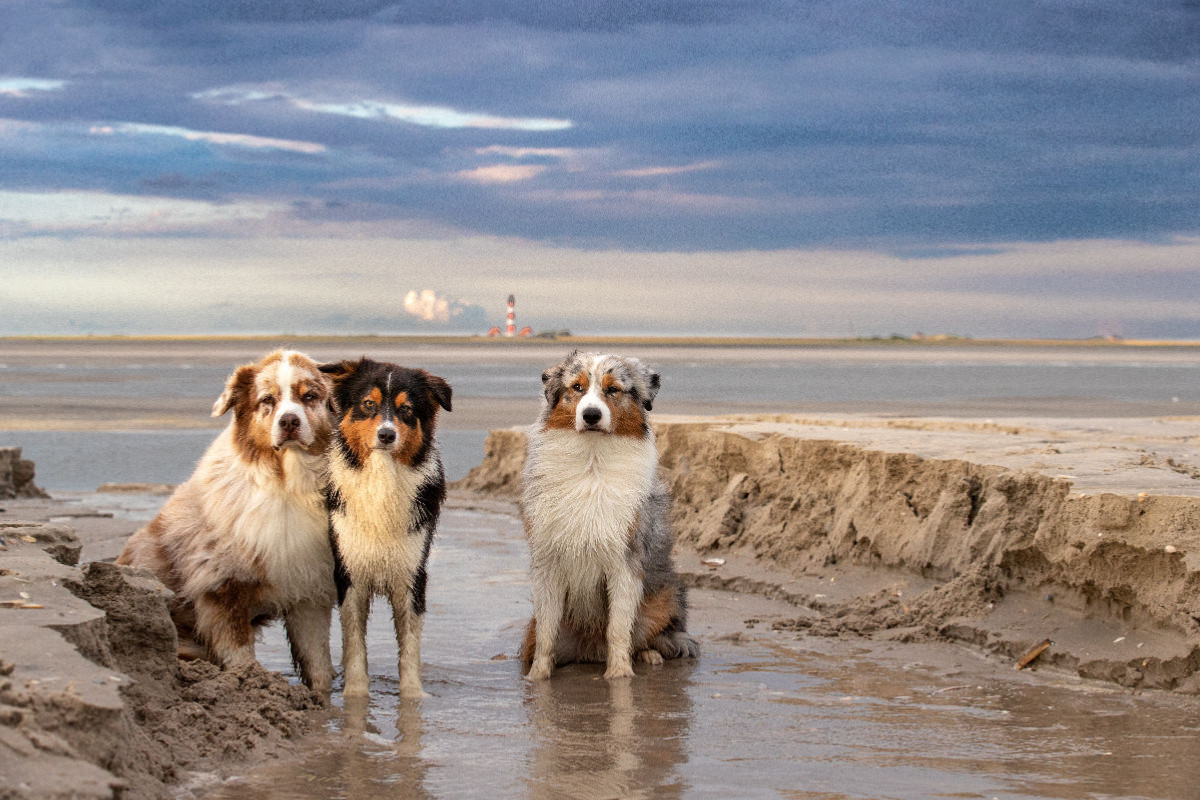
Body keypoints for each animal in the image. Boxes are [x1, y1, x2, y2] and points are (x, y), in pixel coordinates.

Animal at [116, 350, 336, 695]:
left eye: (310, 396)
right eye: (267, 400)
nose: (289, 421)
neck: (288, 482)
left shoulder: (308, 590)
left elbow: (319, 665)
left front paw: (322, 701)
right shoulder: (222, 586)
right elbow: (240, 655)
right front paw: (249, 684)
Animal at [319, 352, 451, 695]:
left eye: (406, 409)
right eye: (369, 403)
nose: (387, 435)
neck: (382, 476)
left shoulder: (411, 574)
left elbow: (410, 645)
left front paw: (413, 696)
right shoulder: (350, 571)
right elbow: (353, 643)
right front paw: (355, 695)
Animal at [520, 352, 700, 681]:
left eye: (613, 389)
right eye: (577, 387)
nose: (591, 415)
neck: (592, 463)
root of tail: (591, 651)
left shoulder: (625, 561)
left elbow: (618, 626)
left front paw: (619, 675)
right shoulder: (547, 560)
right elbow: (547, 631)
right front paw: (537, 678)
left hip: (664, 598)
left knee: (646, 636)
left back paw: (649, 655)